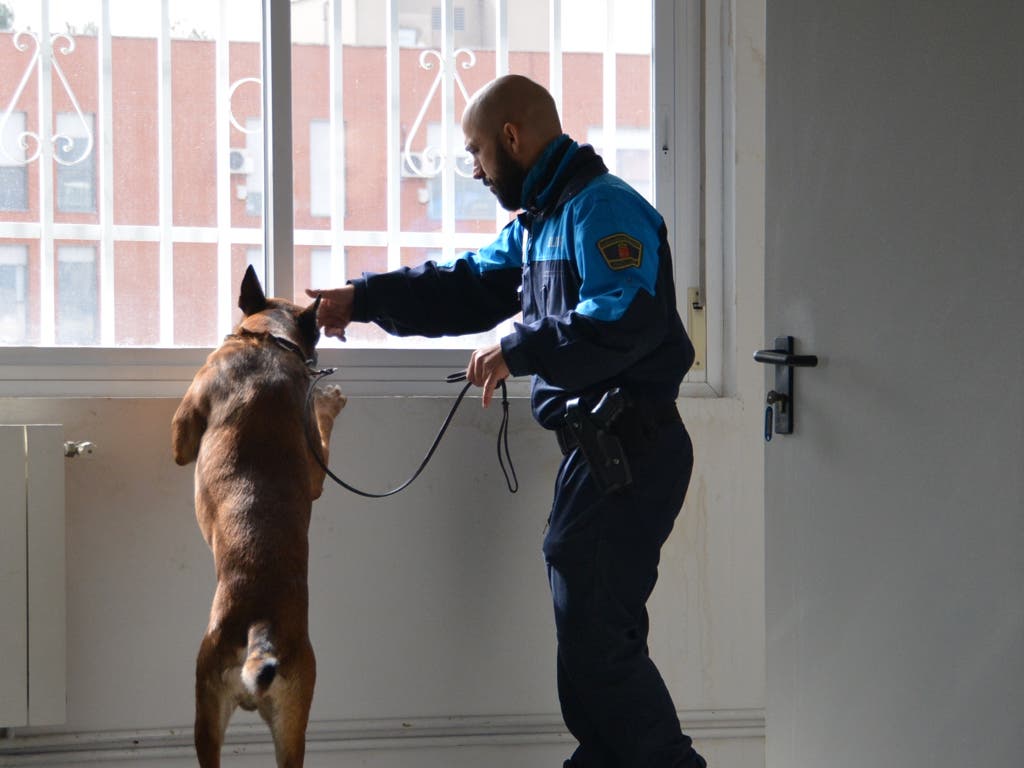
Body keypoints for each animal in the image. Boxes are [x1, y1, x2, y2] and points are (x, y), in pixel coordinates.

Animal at [167, 266, 344, 768]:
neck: (268, 343)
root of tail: (259, 629)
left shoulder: (184, 428)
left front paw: (329, 399)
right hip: (287, 729)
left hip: (206, 709)